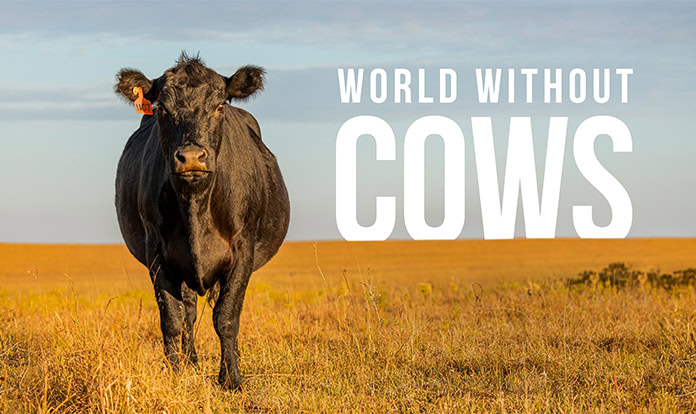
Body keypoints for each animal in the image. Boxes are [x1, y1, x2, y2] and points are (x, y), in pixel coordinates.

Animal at [113, 53, 290, 390]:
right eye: (161, 109)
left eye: (219, 105)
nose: (192, 157)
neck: (196, 206)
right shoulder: (157, 252)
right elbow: (172, 317)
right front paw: (175, 373)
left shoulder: (243, 250)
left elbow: (227, 316)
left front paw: (231, 379)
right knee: (189, 313)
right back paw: (191, 362)